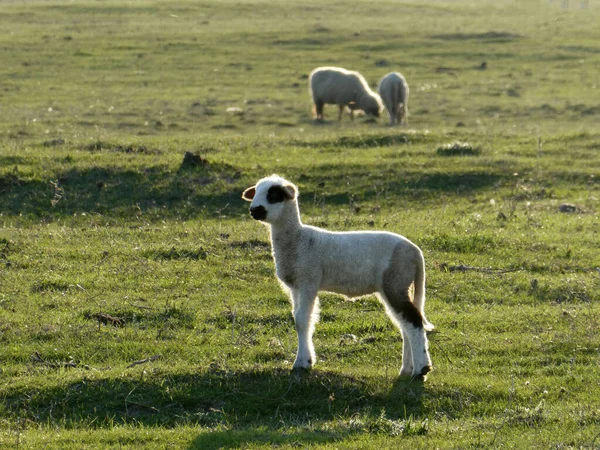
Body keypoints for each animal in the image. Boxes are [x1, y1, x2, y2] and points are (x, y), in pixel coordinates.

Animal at [241, 176, 434, 380]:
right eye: (256, 192)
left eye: (274, 194)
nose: (254, 210)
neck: (298, 239)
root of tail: (415, 251)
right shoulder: (296, 286)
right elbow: (299, 318)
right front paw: (306, 360)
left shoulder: (308, 280)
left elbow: (302, 320)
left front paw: (301, 363)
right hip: (397, 284)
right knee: (405, 325)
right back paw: (407, 369)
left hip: (395, 281)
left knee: (413, 321)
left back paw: (421, 369)